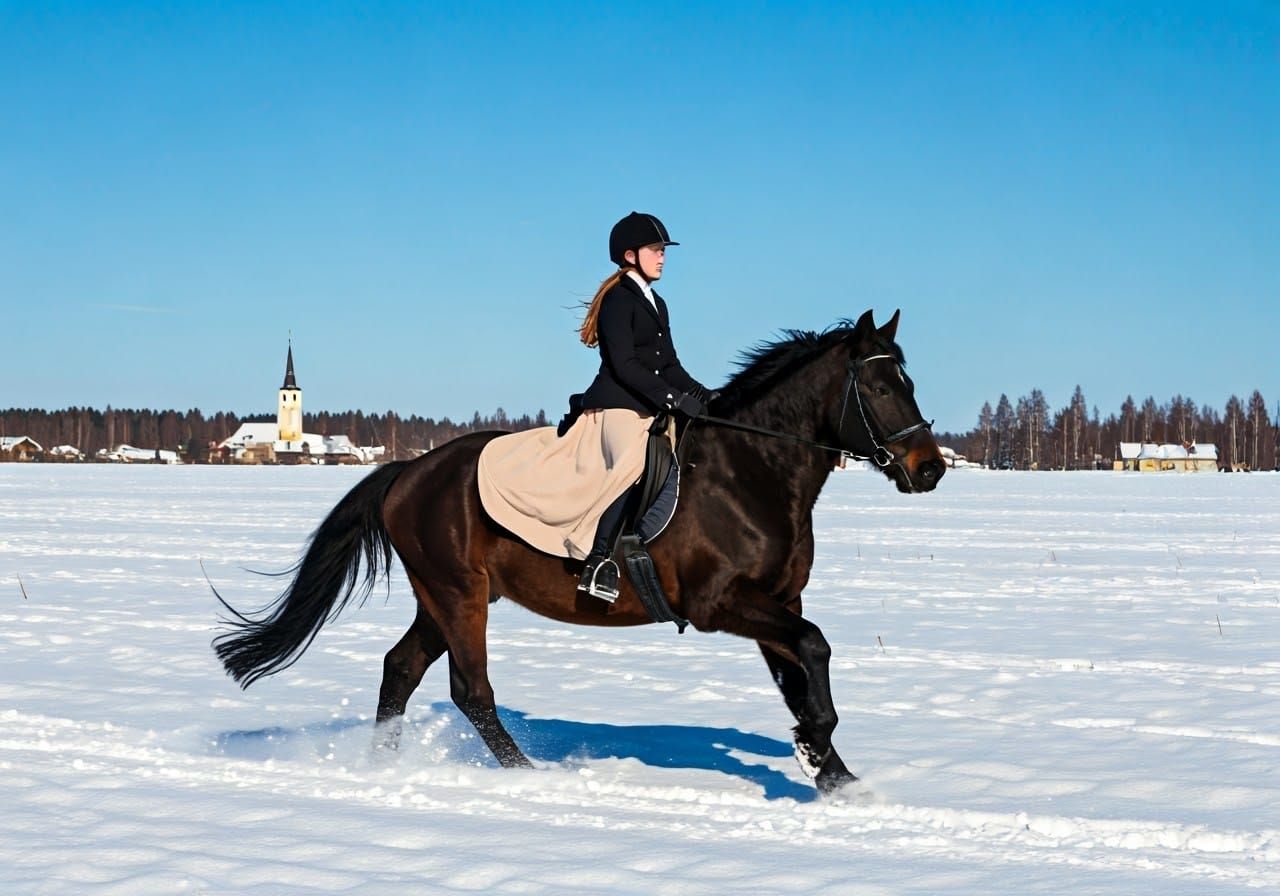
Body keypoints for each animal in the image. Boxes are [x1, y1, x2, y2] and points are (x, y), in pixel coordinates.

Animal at [213, 308, 945, 795]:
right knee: (470, 688)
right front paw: (819, 753)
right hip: (458, 593)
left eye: (909, 383)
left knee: (401, 669)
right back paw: (528, 778)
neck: (749, 471)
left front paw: (831, 772)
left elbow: (800, 672)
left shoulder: (777, 599)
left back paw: (383, 767)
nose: (931, 469)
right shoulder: (721, 603)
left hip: (441, 596)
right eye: (880, 388)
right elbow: (815, 648)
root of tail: (408, 472)